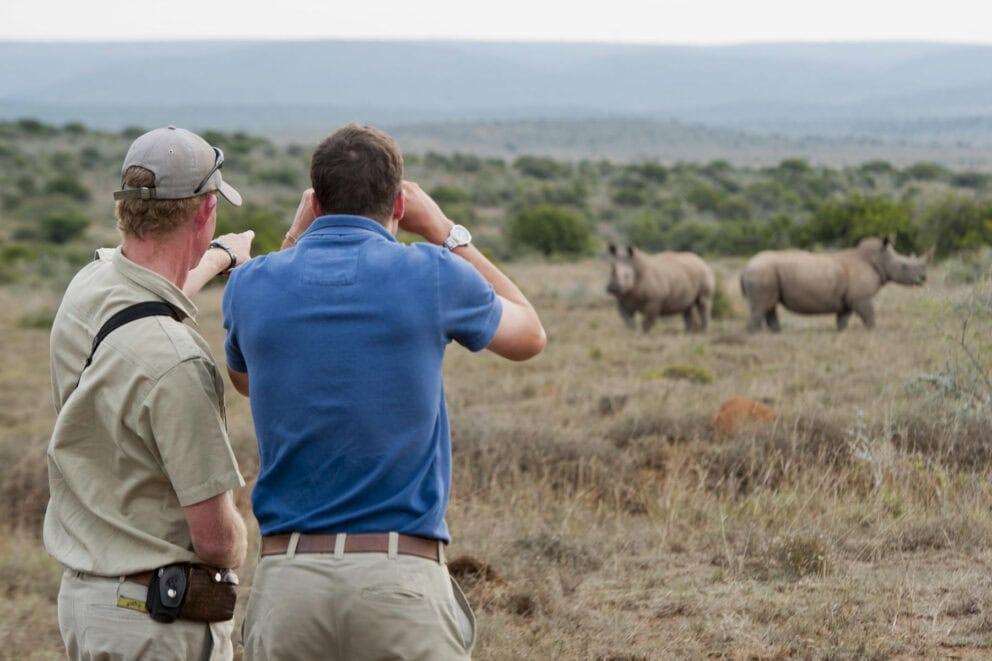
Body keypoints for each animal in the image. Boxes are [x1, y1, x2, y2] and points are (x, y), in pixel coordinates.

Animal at [740, 236, 931, 332]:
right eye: (904, 266)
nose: (923, 278)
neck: (879, 258)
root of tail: (746, 267)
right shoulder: (861, 297)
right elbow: (869, 315)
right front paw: (873, 331)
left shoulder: (848, 298)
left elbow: (843, 319)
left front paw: (842, 332)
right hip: (761, 272)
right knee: (760, 307)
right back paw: (755, 334)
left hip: (765, 272)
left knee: (769, 306)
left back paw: (776, 333)